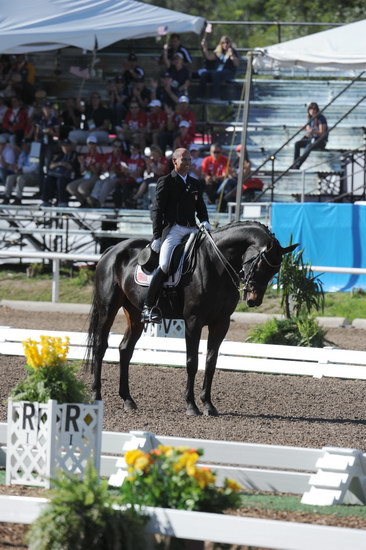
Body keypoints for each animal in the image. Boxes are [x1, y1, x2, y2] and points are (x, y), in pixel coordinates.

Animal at [86, 222, 298, 416]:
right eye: (260, 264)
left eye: (275, 271)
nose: (254, 300)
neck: (216, 264)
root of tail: (112, 250)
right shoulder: (193, 321)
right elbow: (192, 361)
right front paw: (191, 405)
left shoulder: (221, 323)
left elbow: (211, 362)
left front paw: (208, 405)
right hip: (108, 308)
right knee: (100, 346)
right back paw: (96, 396)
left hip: (136, 313)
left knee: (125, 349)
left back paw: (128, 400)